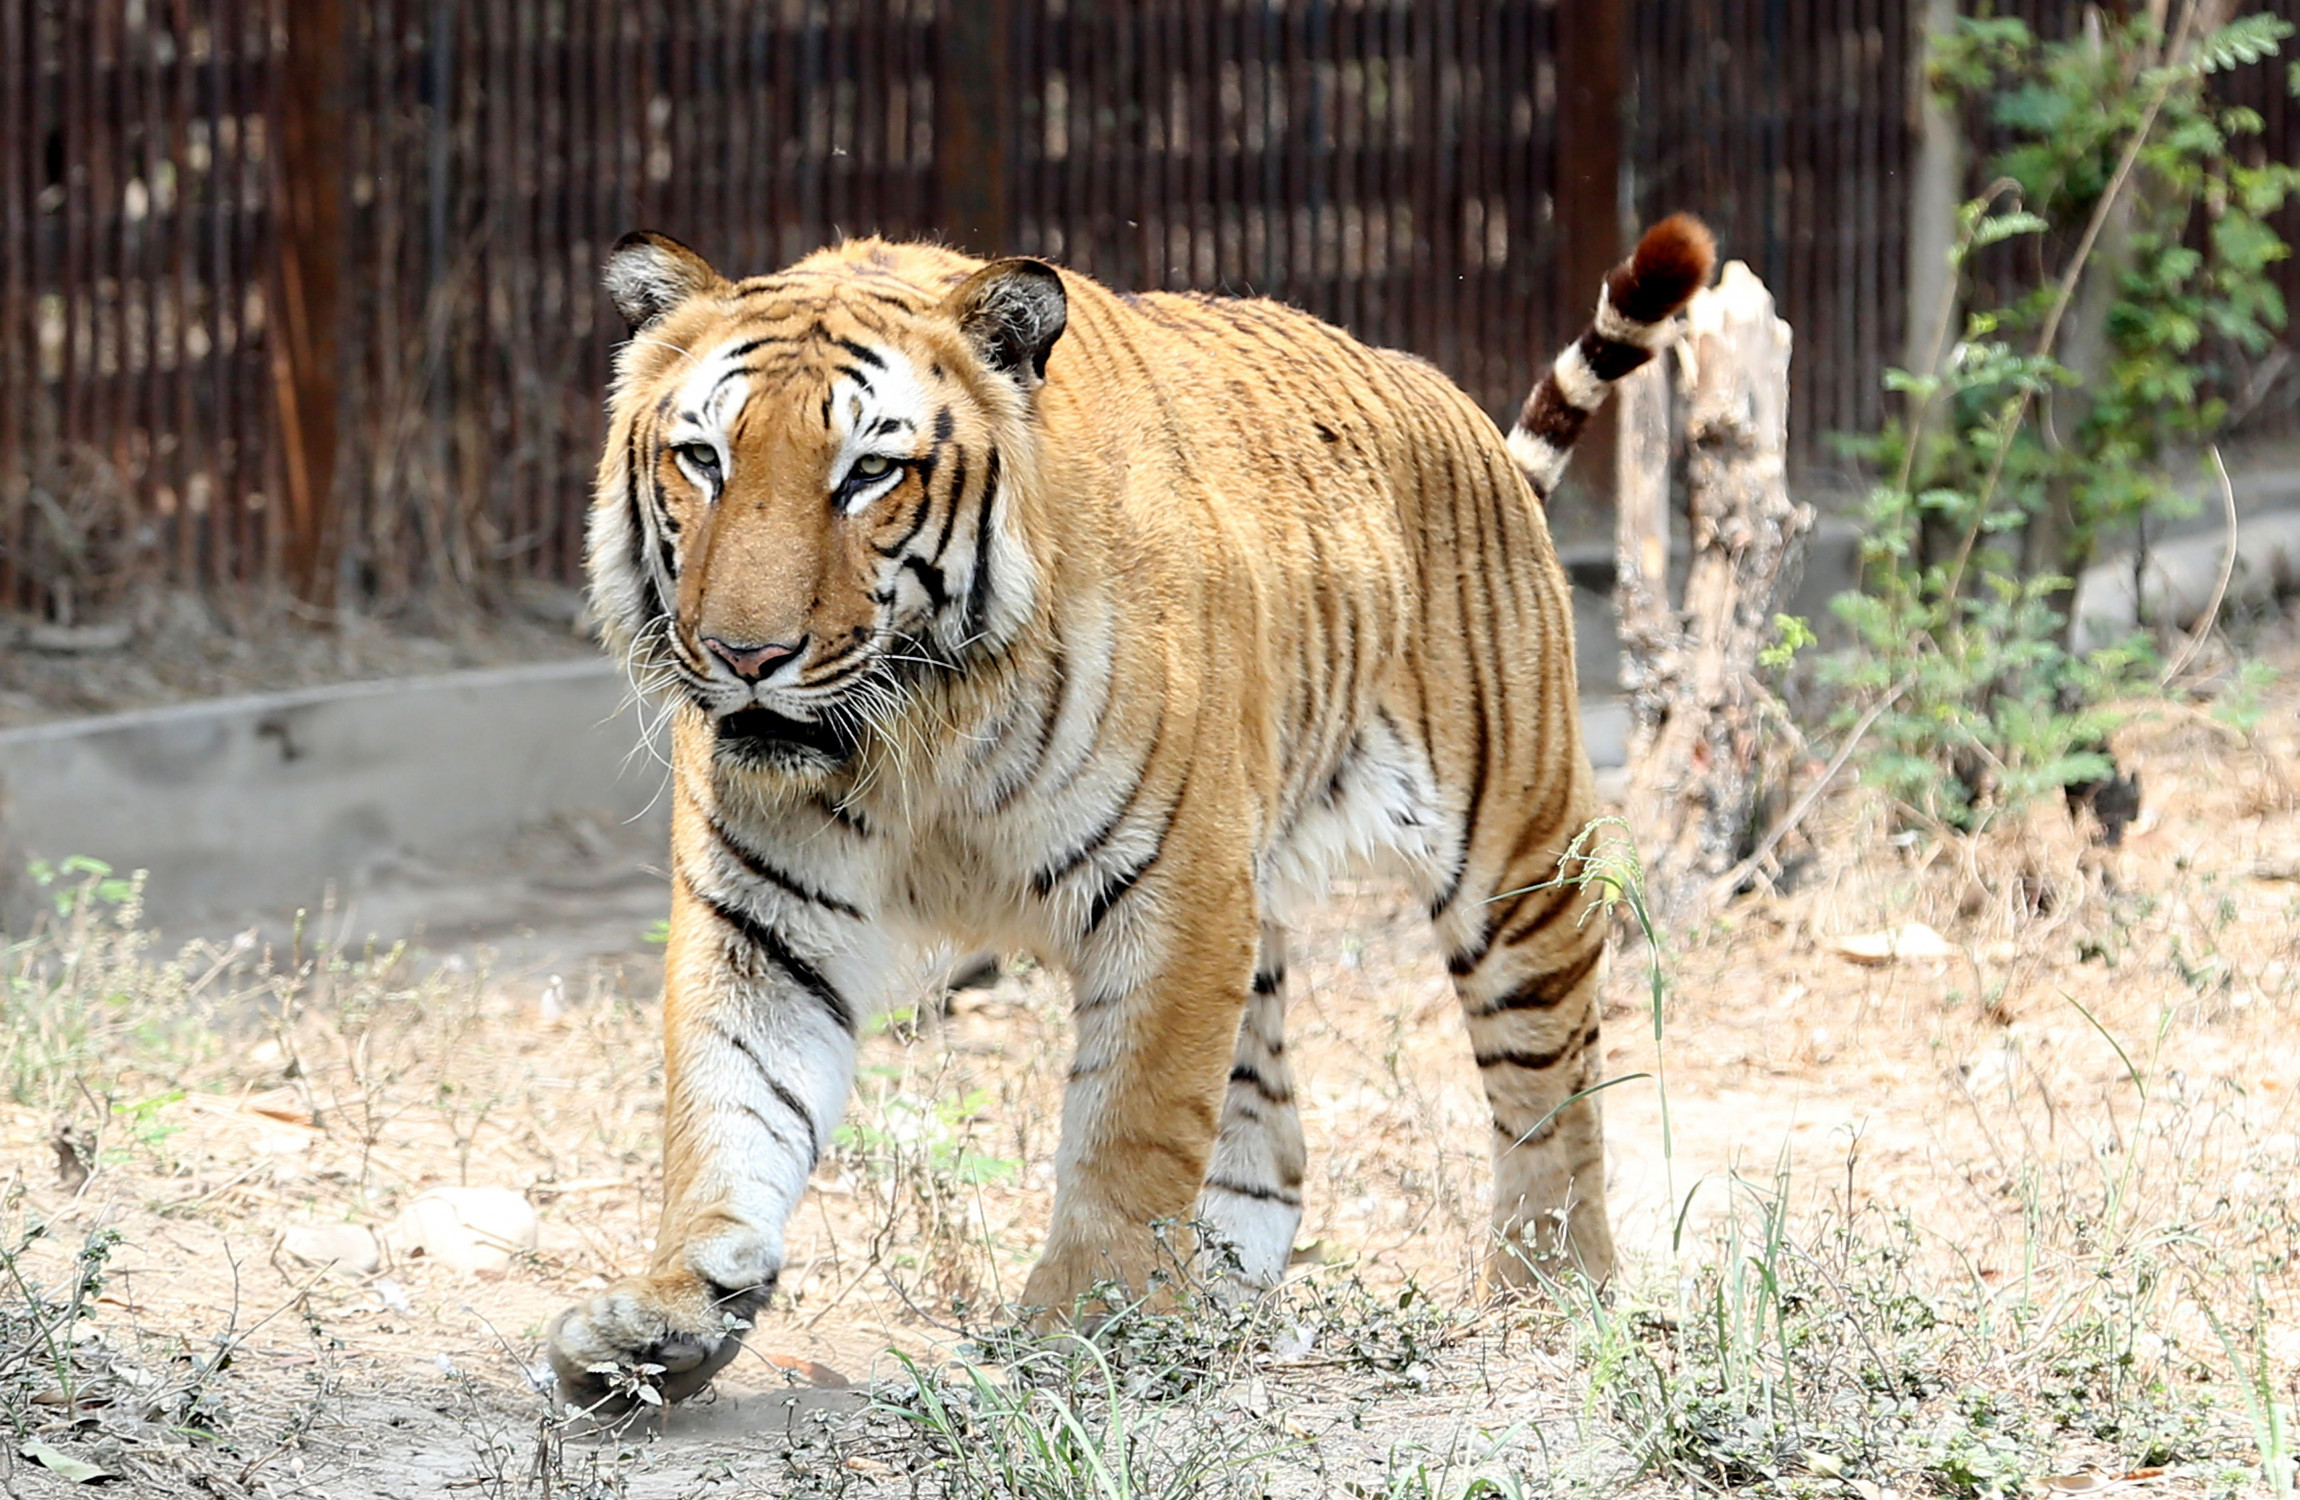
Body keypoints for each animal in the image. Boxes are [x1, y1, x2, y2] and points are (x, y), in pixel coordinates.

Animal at [547, 213, 1720, 1407]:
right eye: (704, 459)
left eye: (868, 472)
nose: (747, 657)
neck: (914, 731)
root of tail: (1462, 417)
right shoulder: (762, 916)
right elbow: (733, 1105)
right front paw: (673, 1309)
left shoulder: (1174, 893)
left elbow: (1131, 1124)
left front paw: (1084, 1322)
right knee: (1274, 1138)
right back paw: (1219, 1295)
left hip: (1517, 851)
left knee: (1548, 1084)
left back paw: (1548, 1285)